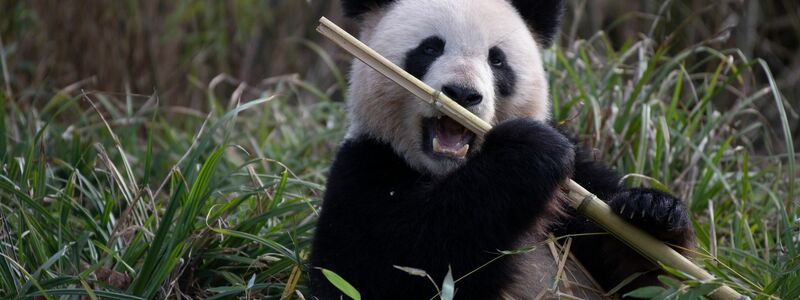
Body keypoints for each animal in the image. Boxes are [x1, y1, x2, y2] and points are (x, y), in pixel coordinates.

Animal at [310, 1, 696, 298]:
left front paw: (651, 213)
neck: (448, 172)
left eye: (497, 60)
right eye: (430, 48)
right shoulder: (364, 170)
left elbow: (647, 281)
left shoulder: (581, 188)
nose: (462, 93)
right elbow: (380, 269)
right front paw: (528, 151)